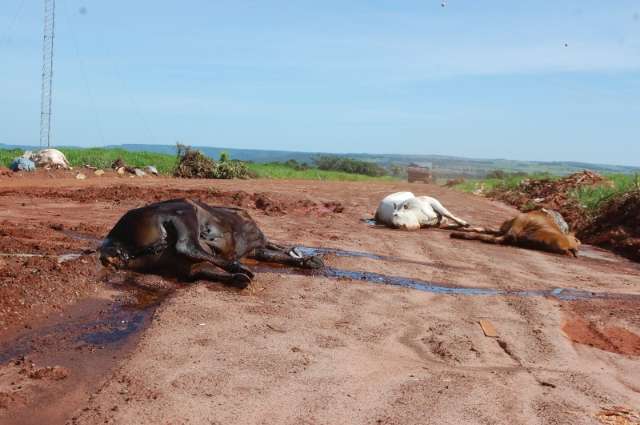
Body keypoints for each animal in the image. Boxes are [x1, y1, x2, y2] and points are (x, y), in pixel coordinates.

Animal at [100, 200, 324, 288]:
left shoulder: (257, 249)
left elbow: (276, 253)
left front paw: (310, 261)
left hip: (173, 263)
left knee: (196, 269)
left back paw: (239, 277)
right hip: (182, 210)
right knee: (186, 246)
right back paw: (239, 269)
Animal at [450, 209, 580, 255]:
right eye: (577, 240)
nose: (577, 250)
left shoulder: (511, 230)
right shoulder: (503, 230)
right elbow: (485, 228)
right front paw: (462, 227)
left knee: (492, 239)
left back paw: (458, 235)